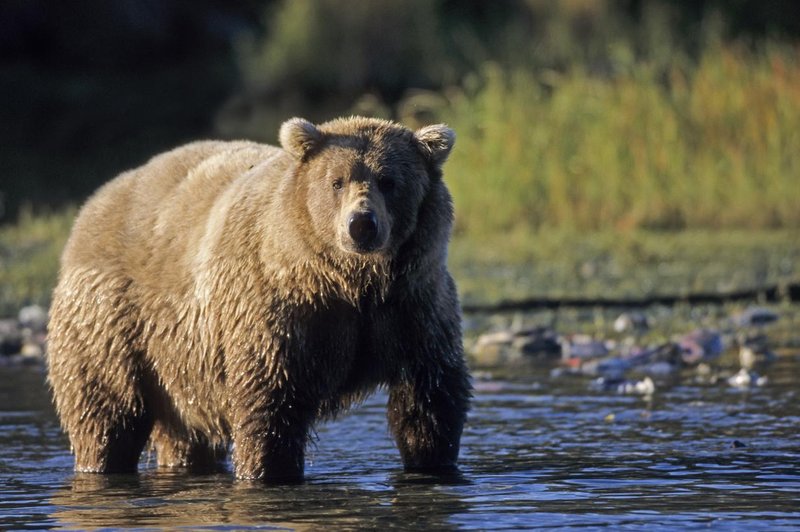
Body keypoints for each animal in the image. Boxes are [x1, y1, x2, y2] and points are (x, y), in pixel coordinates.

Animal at [45, 116, 468, 482]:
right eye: (336, 181)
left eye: (389, 180)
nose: (361, 224)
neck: (350, 281)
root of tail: (95, 201)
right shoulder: (282, 308)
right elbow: (271, 401)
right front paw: (267, 471)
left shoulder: (411, 306)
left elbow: (429, 396)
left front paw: (432, 462)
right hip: (113, 321)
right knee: (105, 409)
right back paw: (100, 461)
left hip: (180, 367)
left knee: (186, 432)